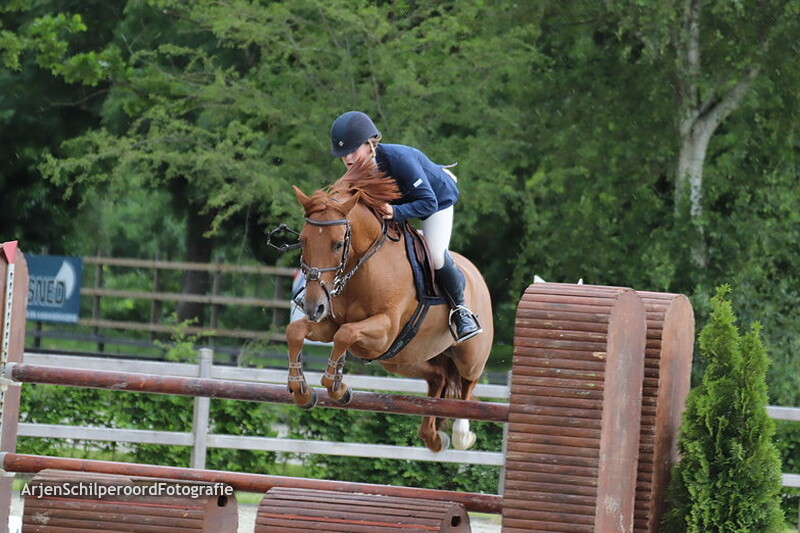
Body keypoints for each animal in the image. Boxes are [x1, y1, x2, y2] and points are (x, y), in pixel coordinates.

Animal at [285, 160, 494, 452]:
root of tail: (476, 274)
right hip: (405, 359)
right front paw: (301, 390)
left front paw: (336, 387)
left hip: (469, 355)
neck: (361, 268)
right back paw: (433, 437)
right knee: (439, 378)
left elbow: (346, 334)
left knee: (468, 382)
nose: (313, 306)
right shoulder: (330, 324)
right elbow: (297, 332)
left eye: (337, 244)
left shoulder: (384, 331)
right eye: (303, 240)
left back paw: (462, 434)